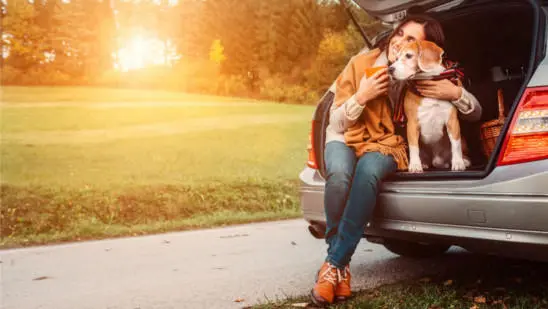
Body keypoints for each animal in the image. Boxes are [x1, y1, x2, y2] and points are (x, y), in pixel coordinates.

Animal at [388, 39, 468, 172]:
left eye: (408, 55)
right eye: (397, 58)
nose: (389, 69)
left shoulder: (452, 121)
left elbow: (455, 144)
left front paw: (458, 162)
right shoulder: (412, 124)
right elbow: (414, 147)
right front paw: (415, 165)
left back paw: (464, 161)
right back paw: (425, 163)